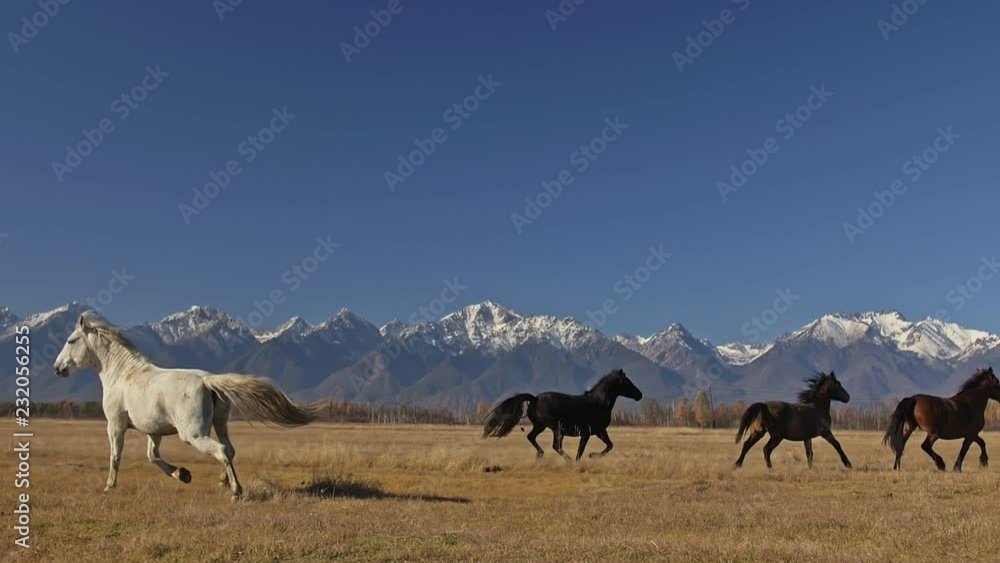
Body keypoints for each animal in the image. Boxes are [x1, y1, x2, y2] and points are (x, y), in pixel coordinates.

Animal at [53, 311, 320, 499]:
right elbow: (153, 457)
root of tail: (208, 381)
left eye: (71, 340)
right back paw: (222, 482)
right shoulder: (154, 431)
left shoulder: (115, 425)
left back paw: (236, 491)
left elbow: (115, 456)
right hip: (219, 424)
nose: (57, 369)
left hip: (193, 434)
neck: (122, 375)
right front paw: (183, 474)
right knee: (230, 449)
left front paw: (109, 487)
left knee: (221, 451)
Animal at [481, 368, 643, 461]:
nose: (639, 395)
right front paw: (584, 459)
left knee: (531, 437)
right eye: (627, 382)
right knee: (555, 446)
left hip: (540, 426)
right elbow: (581, 451)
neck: (598, 403)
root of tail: (535, 398)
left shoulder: (600, 431)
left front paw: (592, 456)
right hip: (556, 428)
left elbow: (609, 445)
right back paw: (567, 460)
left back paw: (540, 455)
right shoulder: (587, 433)